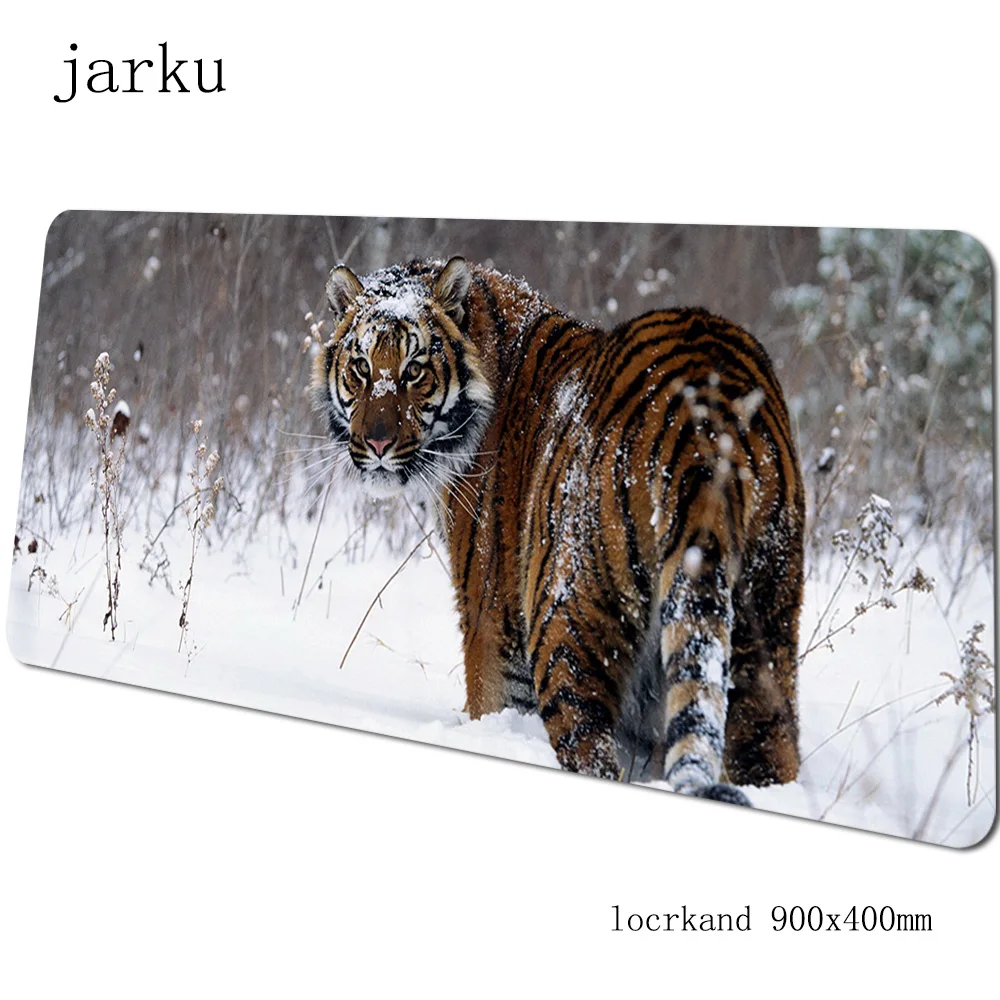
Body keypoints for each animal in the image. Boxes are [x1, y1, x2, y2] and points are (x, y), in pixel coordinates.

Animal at [311, 255, 805, 803]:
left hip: (568, 620)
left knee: (590, 749)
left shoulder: (492, 621)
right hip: (766, 621)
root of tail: (704, 425)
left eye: (413, 370)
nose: (376, 444)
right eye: (361, 367)